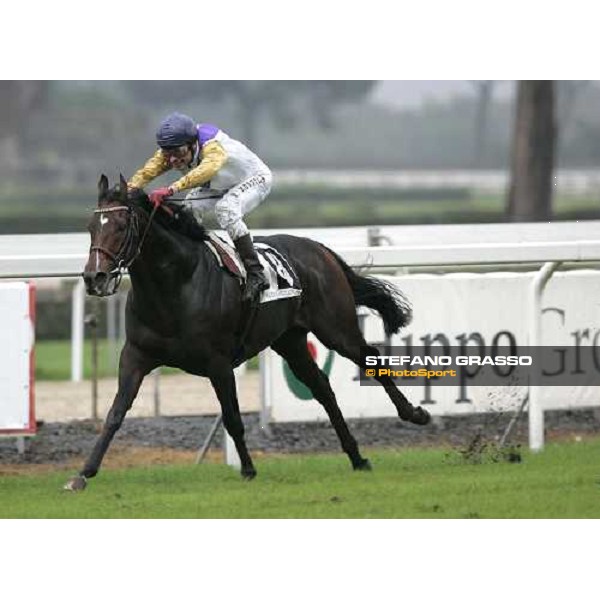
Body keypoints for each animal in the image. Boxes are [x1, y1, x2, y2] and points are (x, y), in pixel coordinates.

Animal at [64, 175, 432, 492]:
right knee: (323, 390)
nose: (94, 278)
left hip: (336, 328)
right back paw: (357, 456)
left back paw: (414, 414)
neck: (176, 285)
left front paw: (248, 469)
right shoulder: (136, 356)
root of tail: (318, 248)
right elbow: (114, 414)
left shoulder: (218, 362)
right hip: (291, 341)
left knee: (372, 359)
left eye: (120, 226)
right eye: (90, 228)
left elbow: (232, 417)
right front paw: (83, 474)